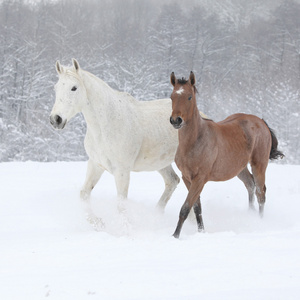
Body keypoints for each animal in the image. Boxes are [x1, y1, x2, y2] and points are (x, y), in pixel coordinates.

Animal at [50, 58, 180, 227]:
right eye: (56, 88)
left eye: (74, 88)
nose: (55, 119)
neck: (106, 125)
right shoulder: (96, 164)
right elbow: (84, 194)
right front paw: (98, 223)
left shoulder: (122, 171)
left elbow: (121, 204)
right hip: (161, 164)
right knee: (173, 181)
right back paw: (156, 217)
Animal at [170, 71, 282, 238]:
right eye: (172, 96)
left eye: (189, 97)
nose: (176, 120)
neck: (195, 141)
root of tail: (261, 122)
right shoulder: (187, 178)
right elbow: (197, 208)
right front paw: (201, 232)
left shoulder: (199, 179)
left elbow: (186, 208)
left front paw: (175, 236)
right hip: (240, 168)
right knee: (250, 185)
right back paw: (250, 215)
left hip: (259, 165)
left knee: (261, 193)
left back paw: (260, 222)